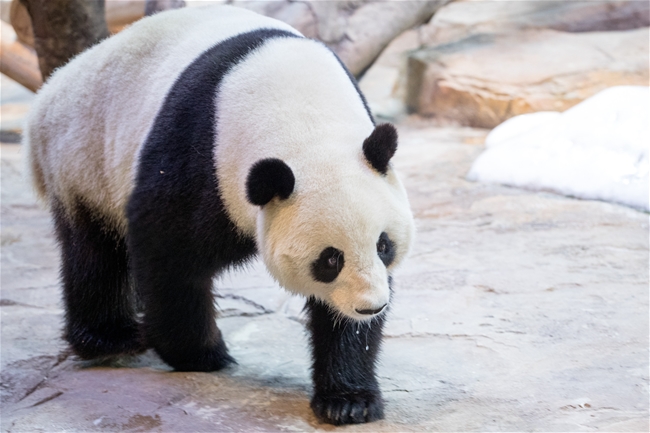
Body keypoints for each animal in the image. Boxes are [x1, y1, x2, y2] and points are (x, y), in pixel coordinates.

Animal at [25, 5, 412, 426]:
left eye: (384, 245)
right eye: (329, 260)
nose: (371, 306)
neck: (305, 122)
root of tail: (48, 94)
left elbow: (340, 320)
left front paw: (349, 400)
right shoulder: (200, 156)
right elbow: (168, 252)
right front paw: (202, 354)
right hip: (82, 160)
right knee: (94, 254)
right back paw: (112, 337)